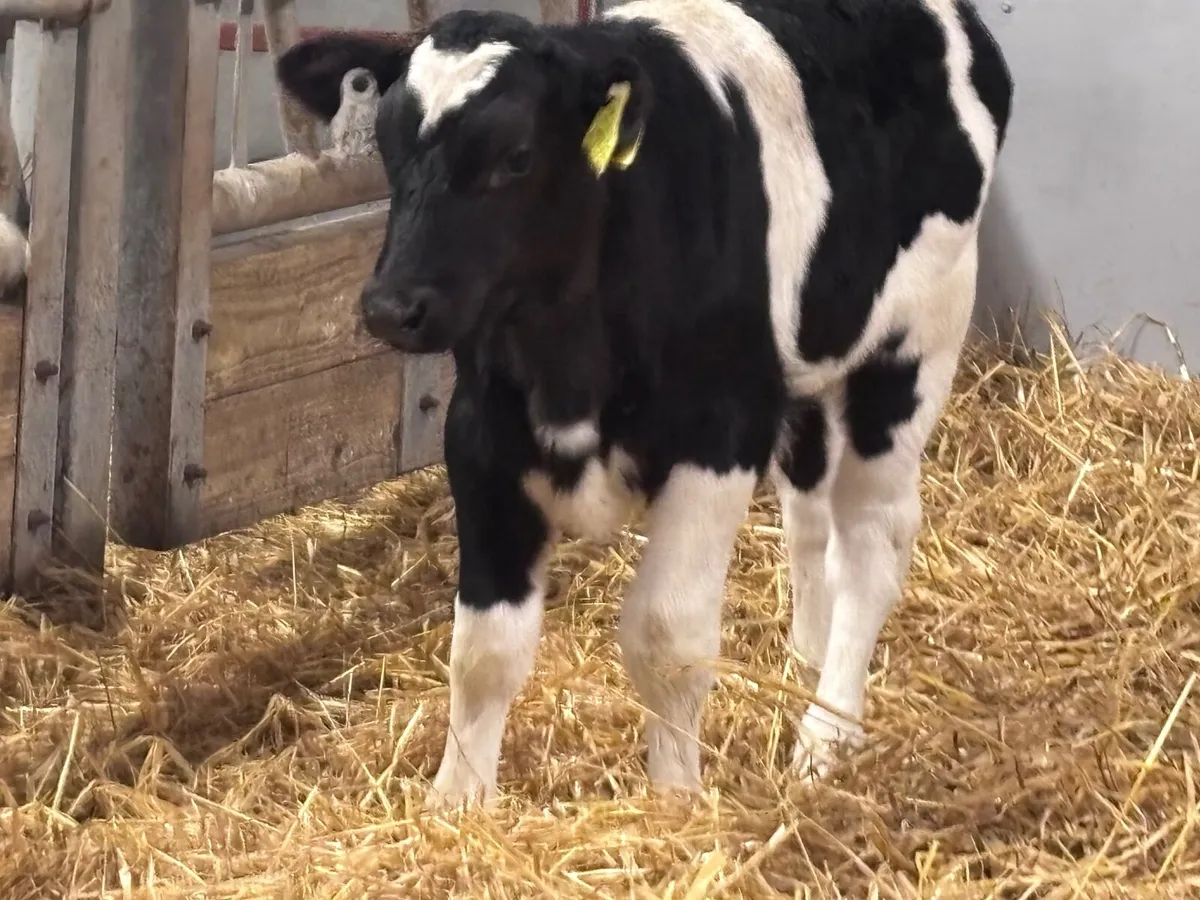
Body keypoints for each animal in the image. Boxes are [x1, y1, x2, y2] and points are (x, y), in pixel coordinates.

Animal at [276, 0, 1013, 804]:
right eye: (386, 145)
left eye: (517, 155)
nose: (391, 307)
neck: (568, 363)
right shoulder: (480, 438)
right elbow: (483, 649)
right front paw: (456, 805)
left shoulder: (719, 432)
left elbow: (666, 635)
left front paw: (676, 799)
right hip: (808, 366)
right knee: (809, 512)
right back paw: (805, 665)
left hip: (917, 341)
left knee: (873, 535)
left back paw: (828, 731)